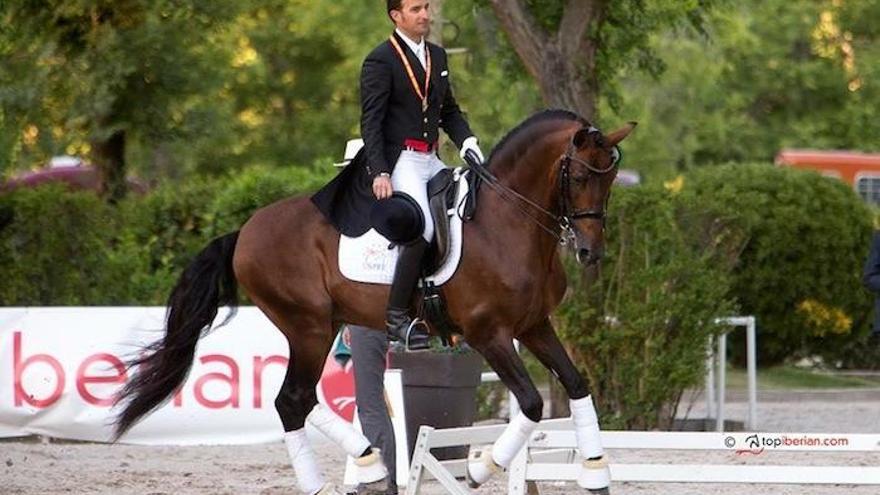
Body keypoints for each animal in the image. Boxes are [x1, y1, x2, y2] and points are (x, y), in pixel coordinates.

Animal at [113, 110, 636, 494]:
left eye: (609, 180)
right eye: (580, 177)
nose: (591, 253)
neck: (506, 222)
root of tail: (245, 231)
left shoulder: (533, 325)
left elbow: (576, 385)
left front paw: (595, 471)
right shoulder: (489, 333)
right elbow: (530, 402)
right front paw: (479, 468)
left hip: (320, 328)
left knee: (299, 400)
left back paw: (365, 465)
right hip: (308, 326)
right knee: (292, 400)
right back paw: (355, 471)